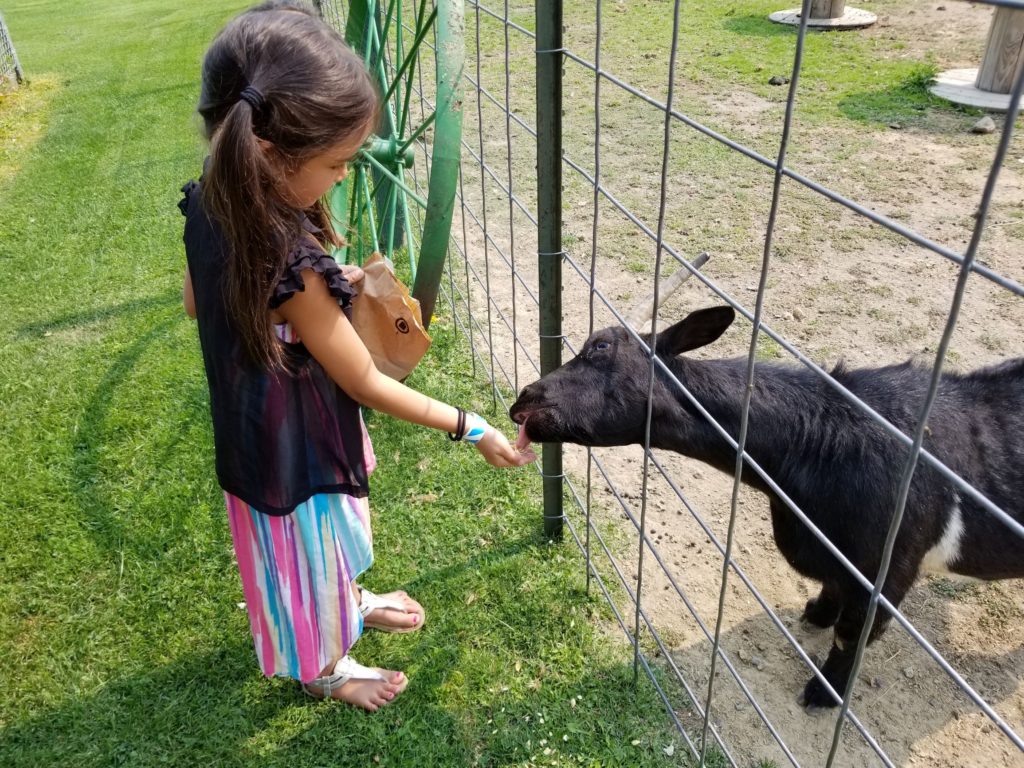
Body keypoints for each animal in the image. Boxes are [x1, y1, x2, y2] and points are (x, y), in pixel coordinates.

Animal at [512, 307, 1024, 708]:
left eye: (600, 346)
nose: (524, 398)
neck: (822, 443)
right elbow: (831, 596)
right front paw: (816, 613)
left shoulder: (887, 566)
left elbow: (852, 635)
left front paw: (823, 694)